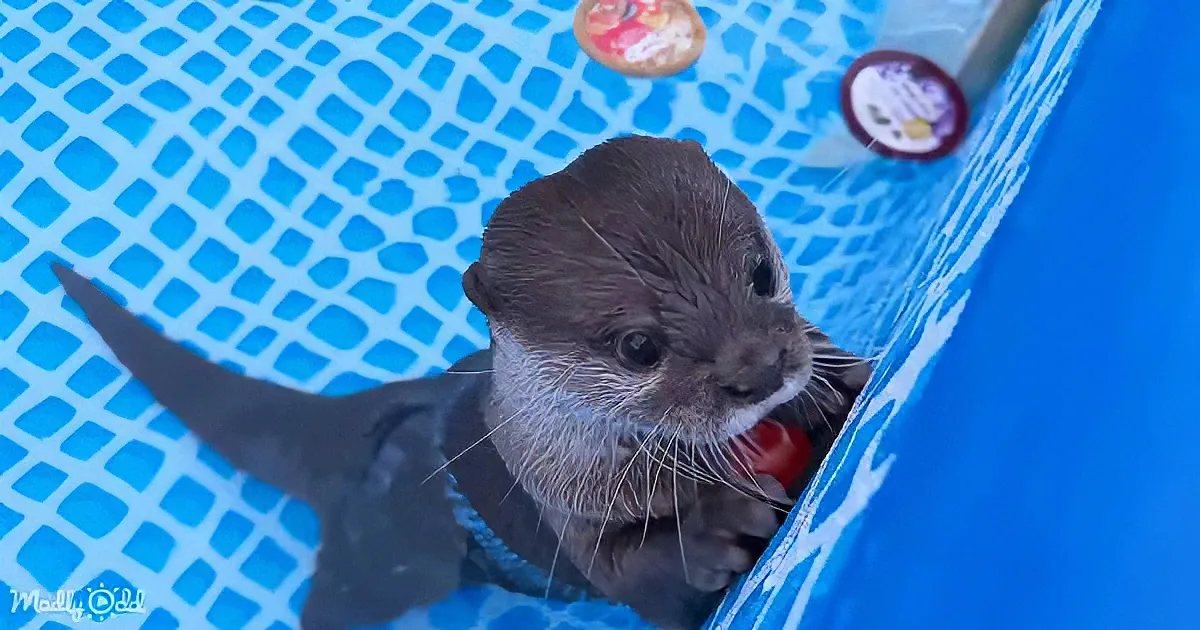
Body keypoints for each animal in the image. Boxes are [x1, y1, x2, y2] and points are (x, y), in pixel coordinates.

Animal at [49, 135, 870, 630]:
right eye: (639, 346)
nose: (759, 370)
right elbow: (642, 580)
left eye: (760, 272)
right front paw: (713, 529)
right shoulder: (570, 522)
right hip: (390, 555)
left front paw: (829, 385)